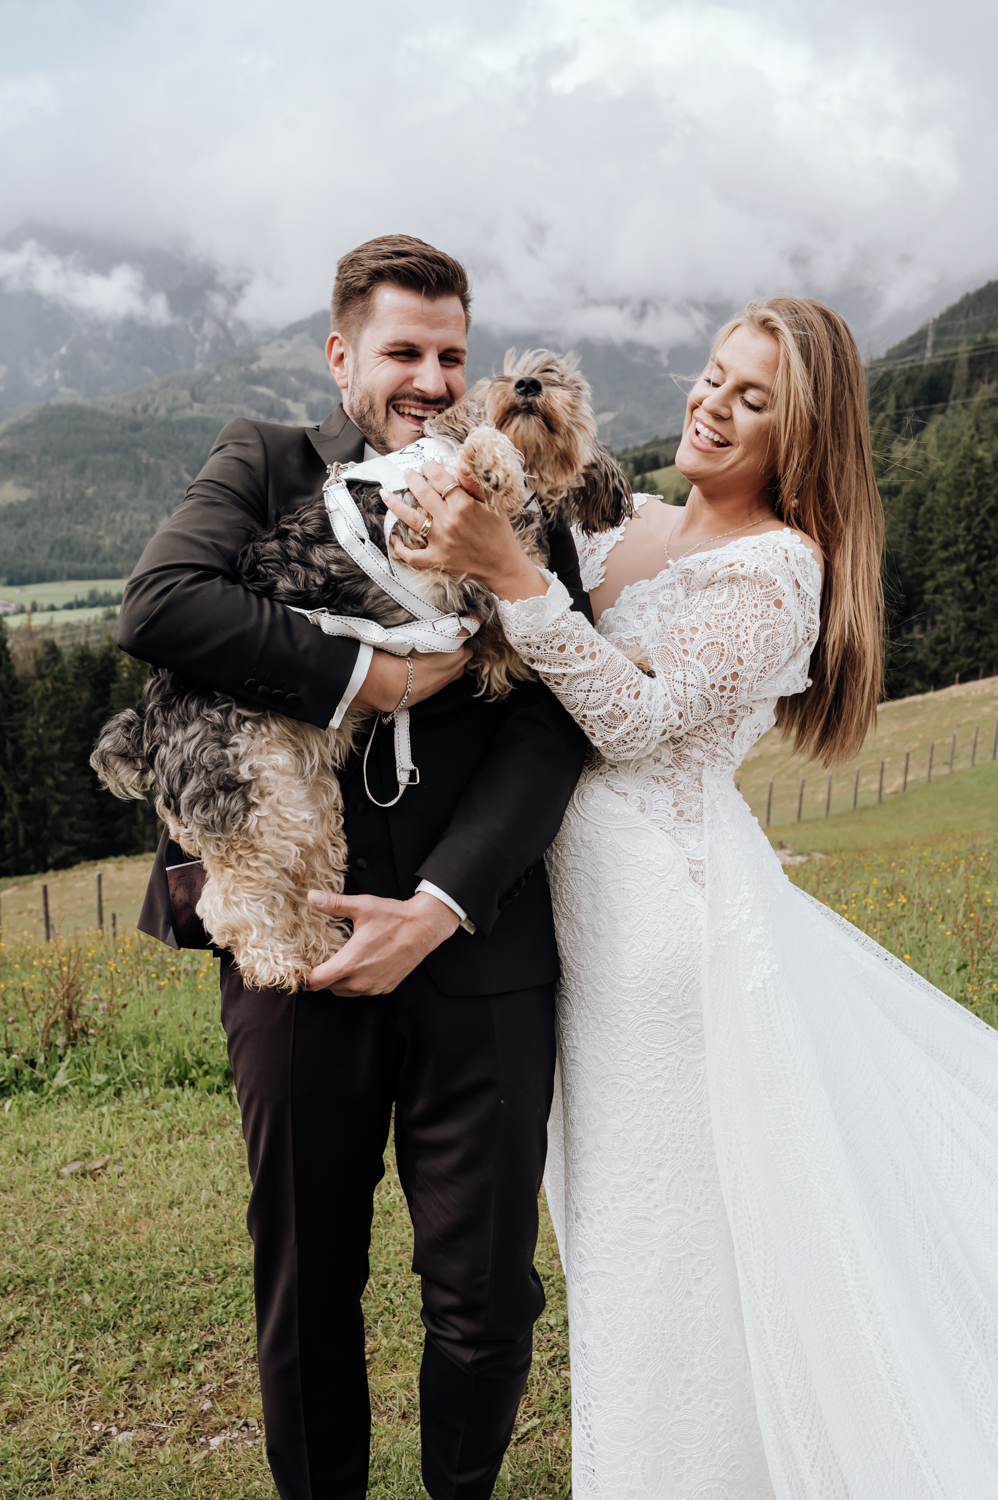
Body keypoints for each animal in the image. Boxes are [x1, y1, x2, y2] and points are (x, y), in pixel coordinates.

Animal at [87, 346, 630, 990]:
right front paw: (490, 460)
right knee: (231, 903)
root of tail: (146, 726)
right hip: (253, 799)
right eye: (507, 372)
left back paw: (323, 946)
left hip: (301, 801)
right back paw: (282, 963)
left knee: (300, 879)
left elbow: (532, 633)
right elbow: (485, 456)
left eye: (562, 382)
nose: (526, 385)